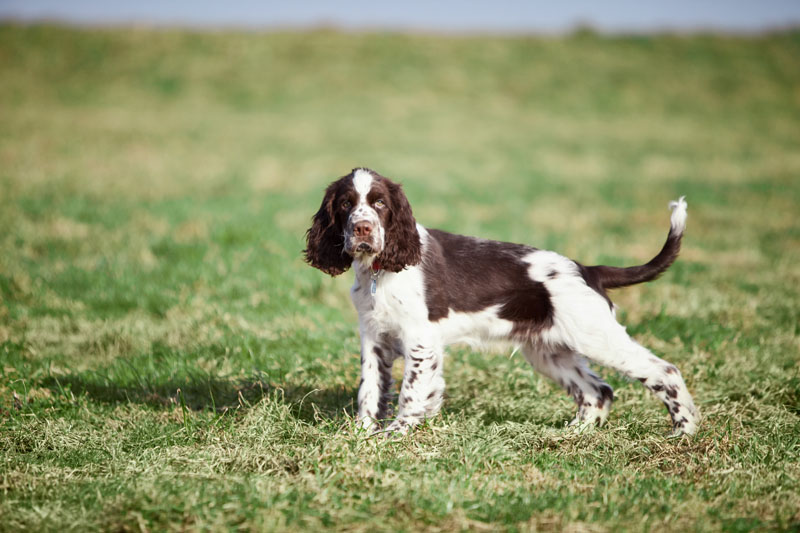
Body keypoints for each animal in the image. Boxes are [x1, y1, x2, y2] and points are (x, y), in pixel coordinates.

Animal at [304, 167, 696, 436]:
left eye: (380, 203)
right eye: (345, 204)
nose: (362, 229)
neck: (380, 270)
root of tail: (587, 270)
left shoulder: (420, 339)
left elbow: (411, 392)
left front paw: (396, 434)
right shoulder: (373, 336)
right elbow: (370, 389)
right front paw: (360, 434)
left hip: (596, 336)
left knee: (664, 371)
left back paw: (685, 431)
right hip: (548, 350)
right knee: (597, 390)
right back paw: (576, 433)